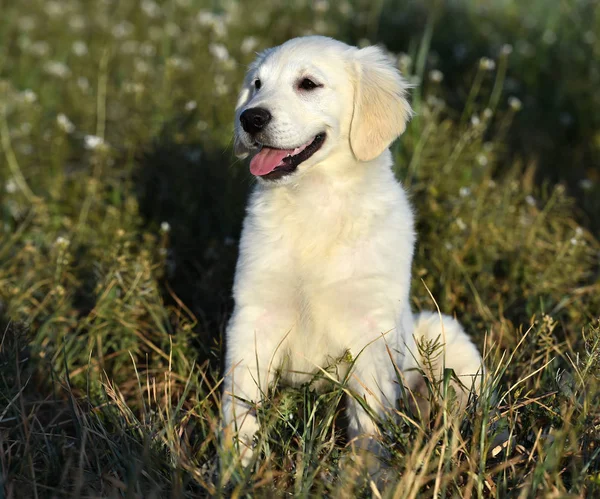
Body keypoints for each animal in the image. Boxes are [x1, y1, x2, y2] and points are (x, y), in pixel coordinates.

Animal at [221, 36, 482, 468]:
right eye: (257, 84)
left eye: (308, 84)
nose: (249, 118)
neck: (315, 201)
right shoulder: (254, 314)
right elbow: (239, 403)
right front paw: (231, 467)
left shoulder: (371, 329)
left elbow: (369, 418)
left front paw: (365, 473)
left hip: (445, 339)